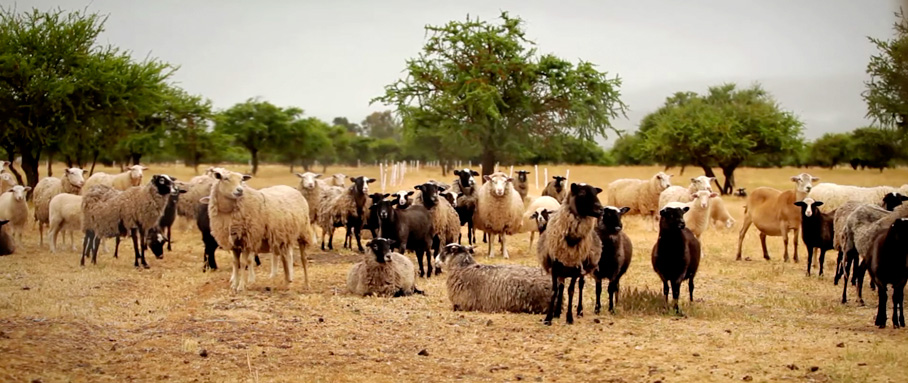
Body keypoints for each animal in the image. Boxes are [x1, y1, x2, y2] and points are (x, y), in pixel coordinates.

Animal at [536, 183, 608, 324]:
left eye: (596, 193)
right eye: (582, 193)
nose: (601, 210)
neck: (570, 240)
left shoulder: (576, 268)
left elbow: (571, 291)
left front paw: (569, 317)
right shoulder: (555, 266)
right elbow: (555, 291)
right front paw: (549, 318)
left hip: (581, 270)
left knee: (580, 286)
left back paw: (579, 311)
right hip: (562, 270)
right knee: (561, 287)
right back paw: (557, 312)